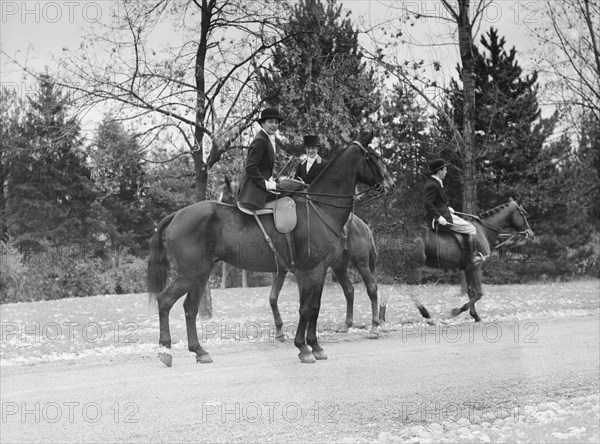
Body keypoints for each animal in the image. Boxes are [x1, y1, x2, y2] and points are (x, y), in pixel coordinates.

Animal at [218, 176, 382, 340]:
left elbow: (301, 301)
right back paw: (347, 325)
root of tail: (362, 225)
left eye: (226, 195)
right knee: (349, 290)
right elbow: (273, 298)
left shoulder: (299, 272)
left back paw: (374, 327)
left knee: (371, 289)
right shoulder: (282, 271)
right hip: (339, 266)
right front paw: (281, 331)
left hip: (360, 262)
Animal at [408, 199, 536, 320]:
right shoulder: (475, 266)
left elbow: (471, 292)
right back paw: (426, 314)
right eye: (523, 213)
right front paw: (456, 311)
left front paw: (475, 316)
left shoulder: (467, 268)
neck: (483, 229)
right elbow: (479, 293)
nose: (531, 233)